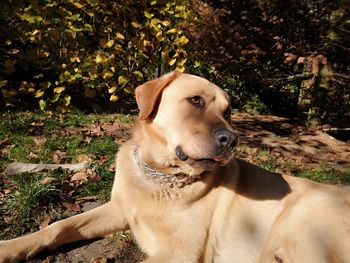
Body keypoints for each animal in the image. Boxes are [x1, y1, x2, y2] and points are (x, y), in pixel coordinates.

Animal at [0, 72, 350, 263]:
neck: (160, 177)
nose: (231, 140)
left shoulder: (181, 252)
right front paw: (10, 247)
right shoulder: (118, 210)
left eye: (228, 112)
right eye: (195, 101)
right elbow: (57, 227)